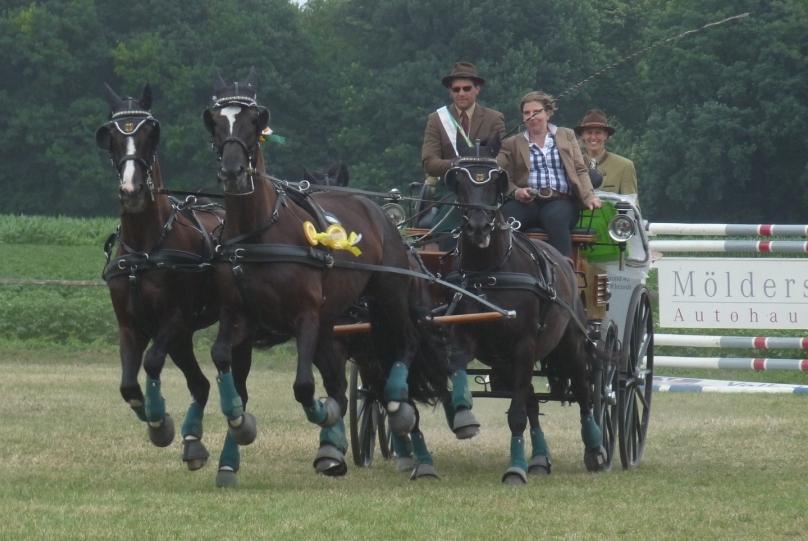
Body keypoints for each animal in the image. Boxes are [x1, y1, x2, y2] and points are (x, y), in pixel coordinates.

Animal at [95, 83, 227, 472]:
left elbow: (152, 362)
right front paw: (158, 423)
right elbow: (128, 385)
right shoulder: (131, 325)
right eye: (110, 137)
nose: (132, 190)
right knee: (200, 384)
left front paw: (159, 421)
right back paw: (193, 442)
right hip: (181, 338)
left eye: (151, 133)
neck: (146, 246)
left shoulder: (177, 318)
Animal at [201, 69, 448, 478]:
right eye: (217, 122)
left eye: (254, 122)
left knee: (405, 346)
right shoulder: (238, 314)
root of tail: (384, 216)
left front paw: (327, 419)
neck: (259, 233)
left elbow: (304, 386)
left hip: (389, 294)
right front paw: (237, 425)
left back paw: (403, 419)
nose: (233, 173)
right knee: (350, 375)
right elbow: (223, 359)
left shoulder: (306, 316)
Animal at [442, 132, 608, 486]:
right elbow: (459, 366)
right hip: (507, 360)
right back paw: (541, 458)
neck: (490, 271)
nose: (478, 228)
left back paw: (595, 448)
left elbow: (516, 414)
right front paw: (463, 414)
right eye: (458, 181)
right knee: (532, 398)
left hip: (569, 344)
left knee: (583, 392)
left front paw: (515, 467)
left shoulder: (524, 345)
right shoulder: (466, 333)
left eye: (497, 181)